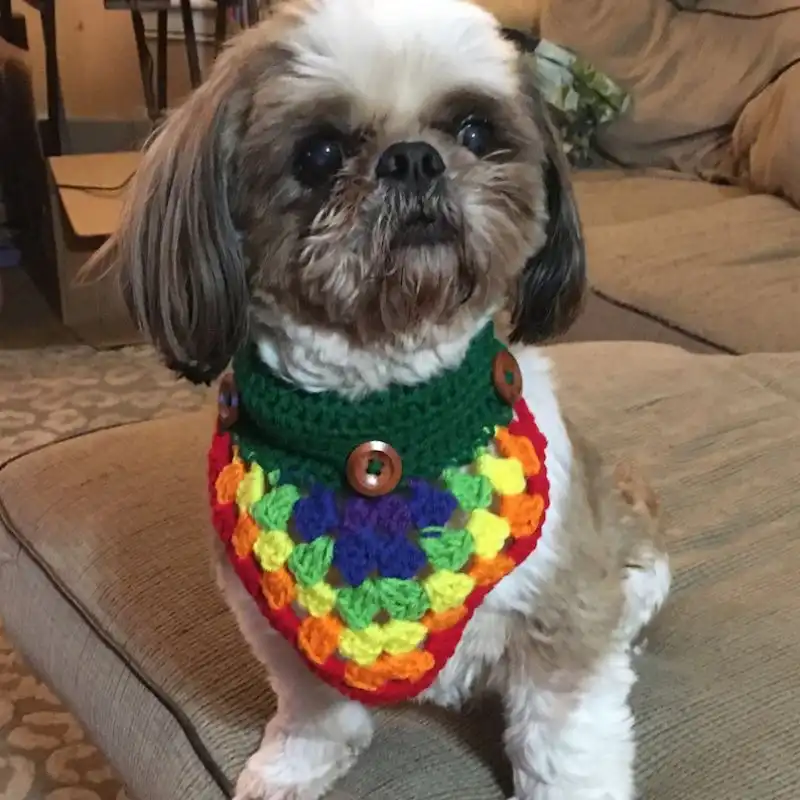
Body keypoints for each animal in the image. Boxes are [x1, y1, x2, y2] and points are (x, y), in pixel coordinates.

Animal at [92, 0, 668, 796]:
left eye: (473, 130)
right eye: (319, 153)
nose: (414, 158)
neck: (381, 410)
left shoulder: (563, 613)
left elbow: (567, 745)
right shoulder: (272, 620)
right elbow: (313, 707)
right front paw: (297, 763)